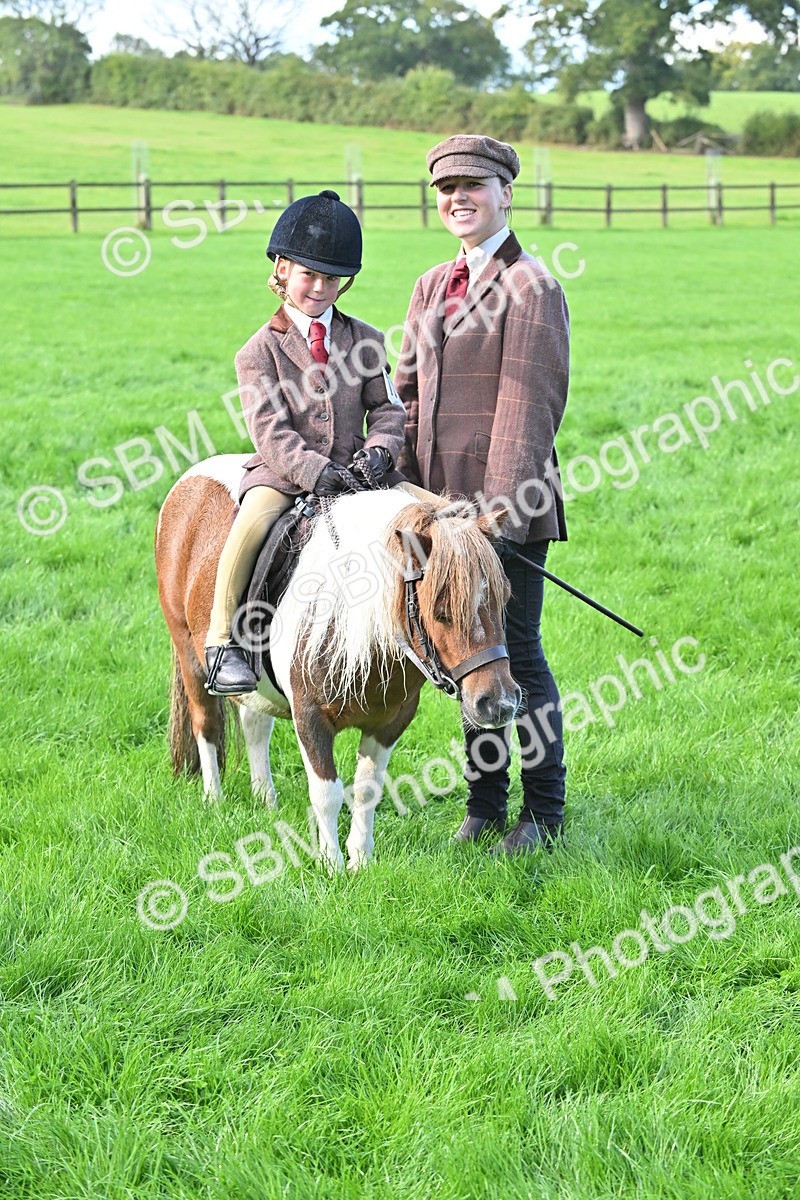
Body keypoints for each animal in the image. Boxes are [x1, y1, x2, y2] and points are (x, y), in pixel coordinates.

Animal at [154, 454, 521, 871]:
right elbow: (327, 792)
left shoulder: (390, 722)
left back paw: (265, 798)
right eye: (441, 611)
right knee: (207, 724)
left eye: (503, 599)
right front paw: (330, 865)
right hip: (189, 654)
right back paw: (213, 798)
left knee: (255, 723)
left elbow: (367, 790)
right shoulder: (309, 716)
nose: (498, 702)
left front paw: (360, 860)